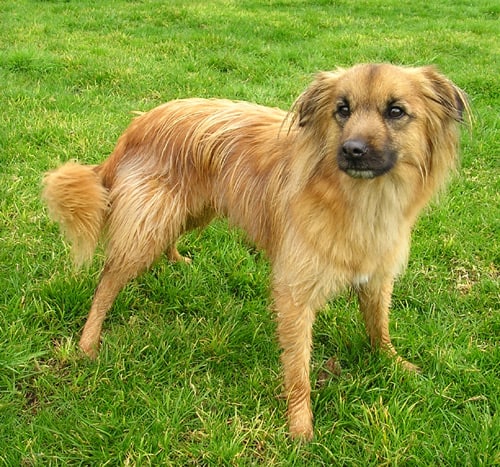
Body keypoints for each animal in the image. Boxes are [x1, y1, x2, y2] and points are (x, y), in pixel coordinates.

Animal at [43, 64, 468, 440]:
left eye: (396, 111)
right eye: (342, 110)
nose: (352, 150)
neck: (358, 198)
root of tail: (138, 125)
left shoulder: (377, 275)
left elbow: (379, 326)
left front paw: (394, 363)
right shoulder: (294, 292)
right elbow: (298, 367)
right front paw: (300, 428)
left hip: (192, 209)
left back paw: (177, 261)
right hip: (149, 225)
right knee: (108, 280)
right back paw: (88, 342)